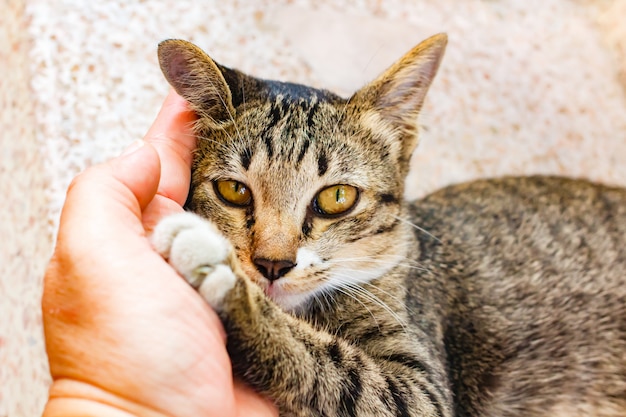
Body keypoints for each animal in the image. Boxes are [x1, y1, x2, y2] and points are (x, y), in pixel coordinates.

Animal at [151, 34, 624, 414]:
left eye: (336, 198)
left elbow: (333, 367)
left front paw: (222, 277)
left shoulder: (423, 389)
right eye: (234, 190)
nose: (272, 264)